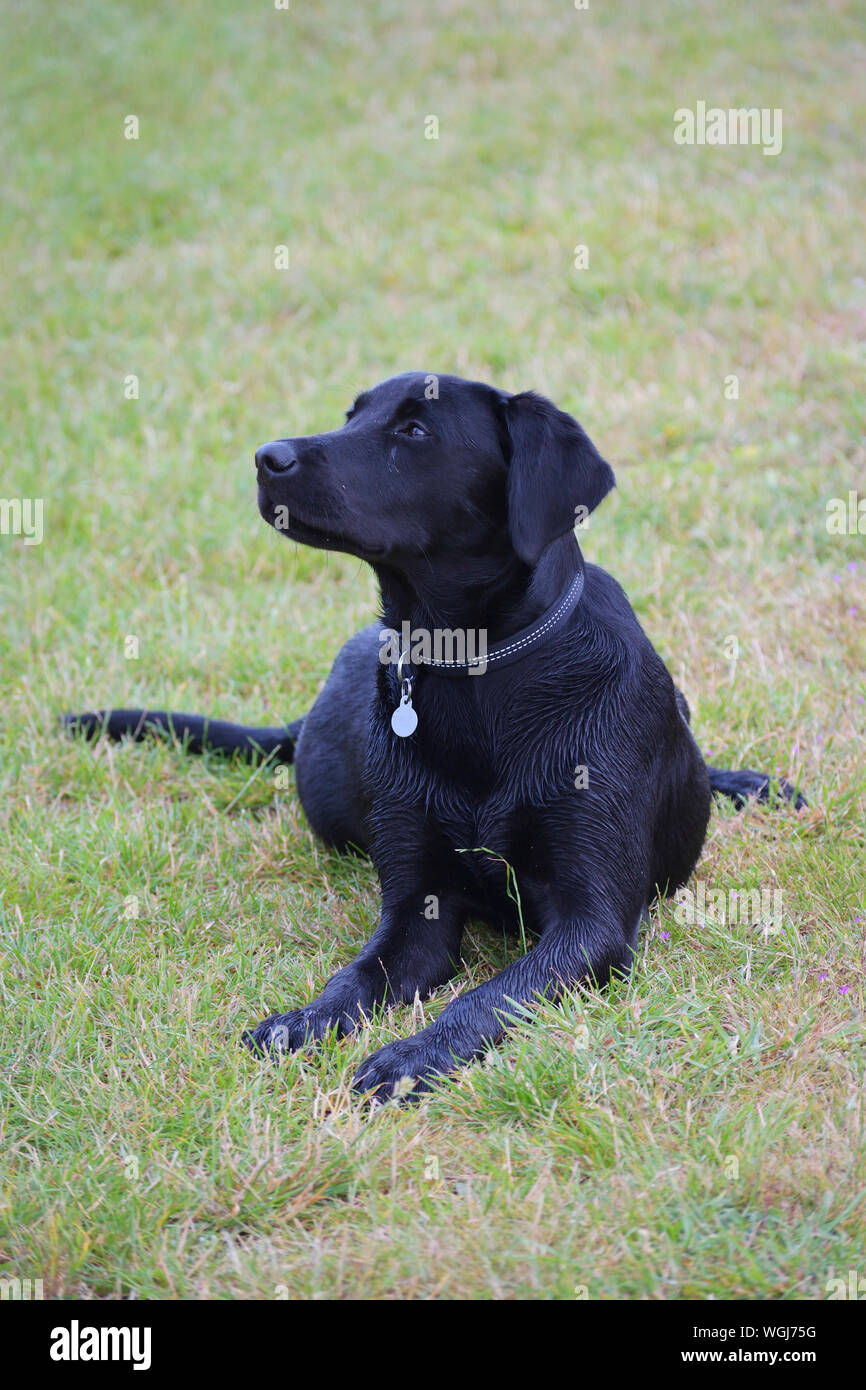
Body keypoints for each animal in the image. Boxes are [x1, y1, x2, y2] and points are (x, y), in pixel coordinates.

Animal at [67, 375, 806, 1100]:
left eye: (415, 430)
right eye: (351, 416)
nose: (265, 457)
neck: (477, 670)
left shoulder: (591, 923)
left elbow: (492, 995)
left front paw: (412, 1055)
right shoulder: (415, 909)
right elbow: (357, 975)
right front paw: (305, 1020)